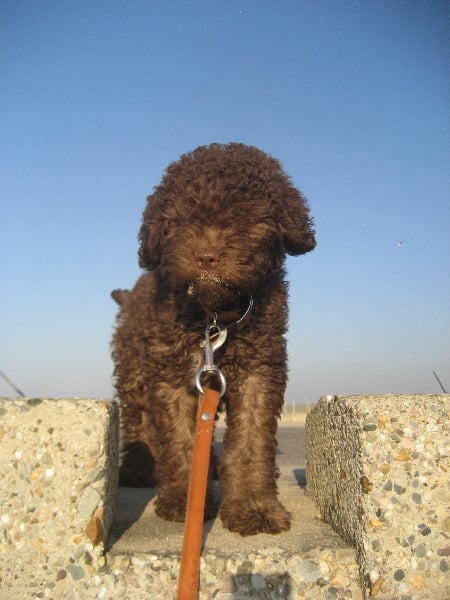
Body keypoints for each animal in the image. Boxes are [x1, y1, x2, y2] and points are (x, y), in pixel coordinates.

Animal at [112, 144, 316, 536]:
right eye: (179, 221)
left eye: (245, 219)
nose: (206, 256)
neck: (213, 317)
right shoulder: (171, 378)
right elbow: (179, 440)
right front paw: (185, 501)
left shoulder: (258, 372)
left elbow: (251, 443)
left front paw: (254, 506)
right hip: (134, 371)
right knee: (137, 418)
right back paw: (137, 469)